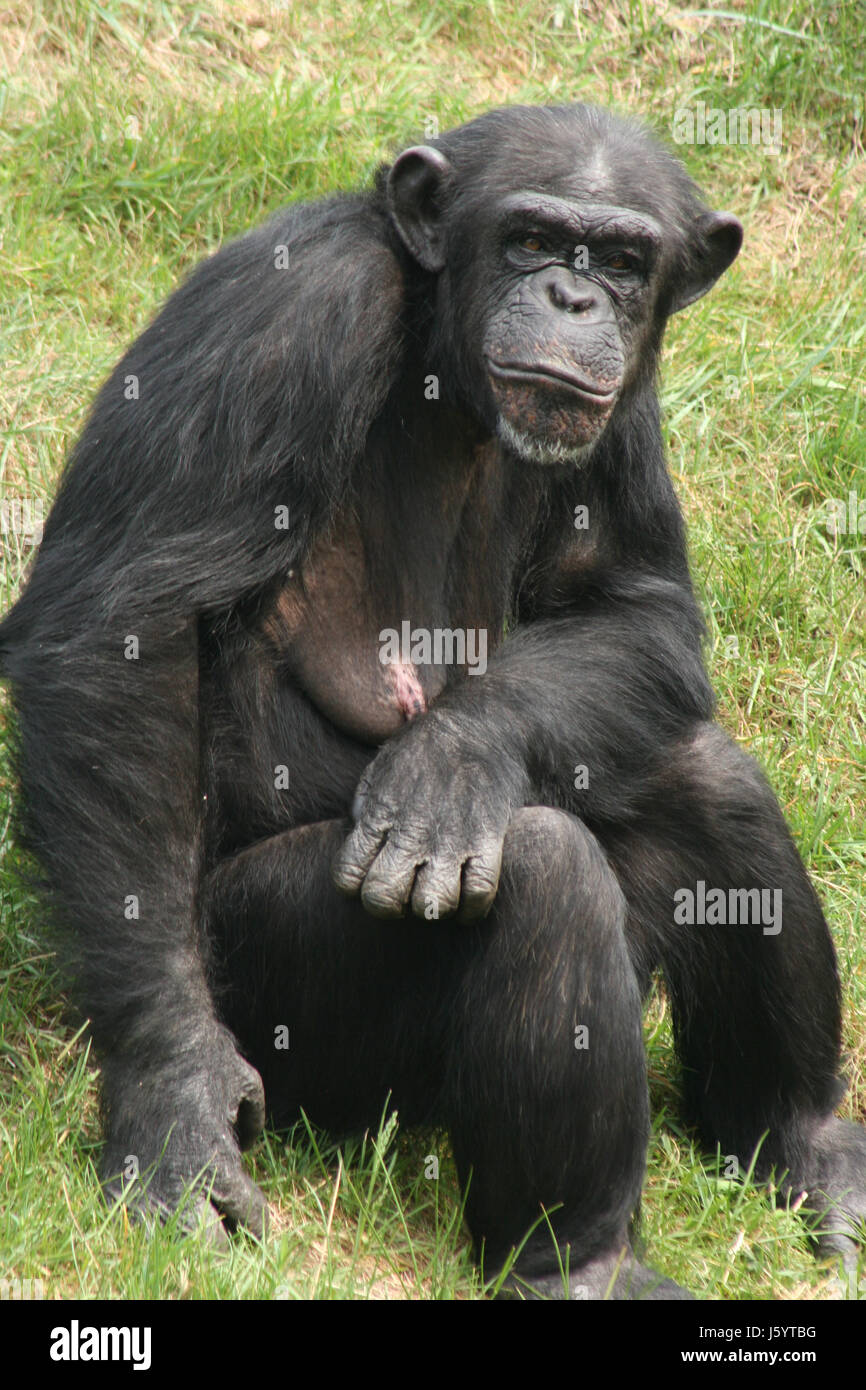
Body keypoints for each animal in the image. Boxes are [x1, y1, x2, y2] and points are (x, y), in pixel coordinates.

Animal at [1, 102, 866, 1295]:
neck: (441, 370)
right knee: (544, 875)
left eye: (623, 261)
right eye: (531, 240)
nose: (573, 300)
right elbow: (124, 625)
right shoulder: (288, 316)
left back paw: (803, 1145)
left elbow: (635, 610)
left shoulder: (628, 400)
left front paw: (455, 762)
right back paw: (576, 1261)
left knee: (705, 779)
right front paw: (174, 1090)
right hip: (280, 1003)